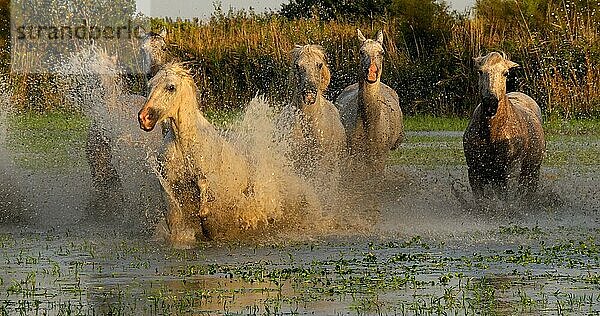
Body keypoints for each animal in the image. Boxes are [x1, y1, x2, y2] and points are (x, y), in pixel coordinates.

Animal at [336, 29, 406, 174]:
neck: (370, 122)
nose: (372, 73)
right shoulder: (353, 155)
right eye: (361, 52)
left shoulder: (379, 158)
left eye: (382, 52)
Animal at [462, 52, 548, 204]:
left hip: (533, 172)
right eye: (480, 71)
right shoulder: (475, 172)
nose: (490, 104)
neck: (492, 133)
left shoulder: (508, 173)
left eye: (505, 73)